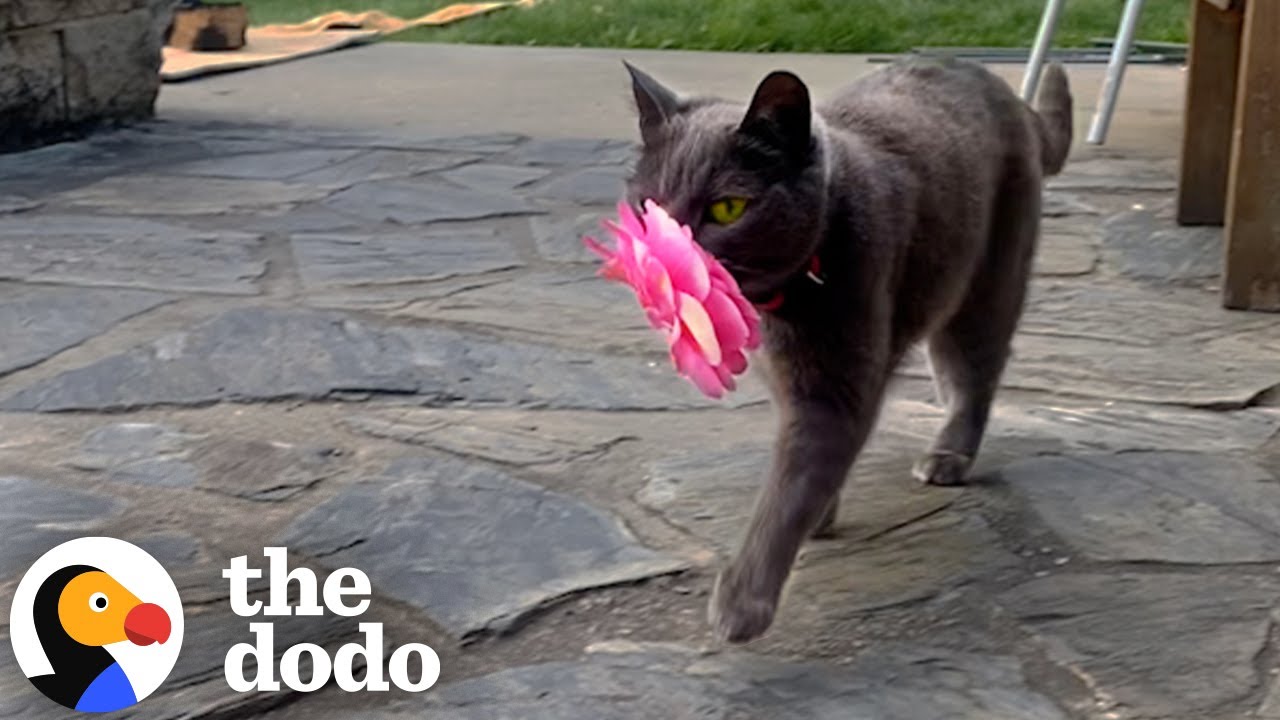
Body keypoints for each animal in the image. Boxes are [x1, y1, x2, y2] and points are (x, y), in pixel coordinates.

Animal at [619, 56, 1070, 638]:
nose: (665, 257)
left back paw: (947, 457)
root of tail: (1011, 97)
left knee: (975, 376)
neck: (775, 307)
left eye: (727, 208)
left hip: (984, 283)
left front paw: (740, 604)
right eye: (649, 206)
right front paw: (823, 514)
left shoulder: (833, 387)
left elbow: (791, 486)